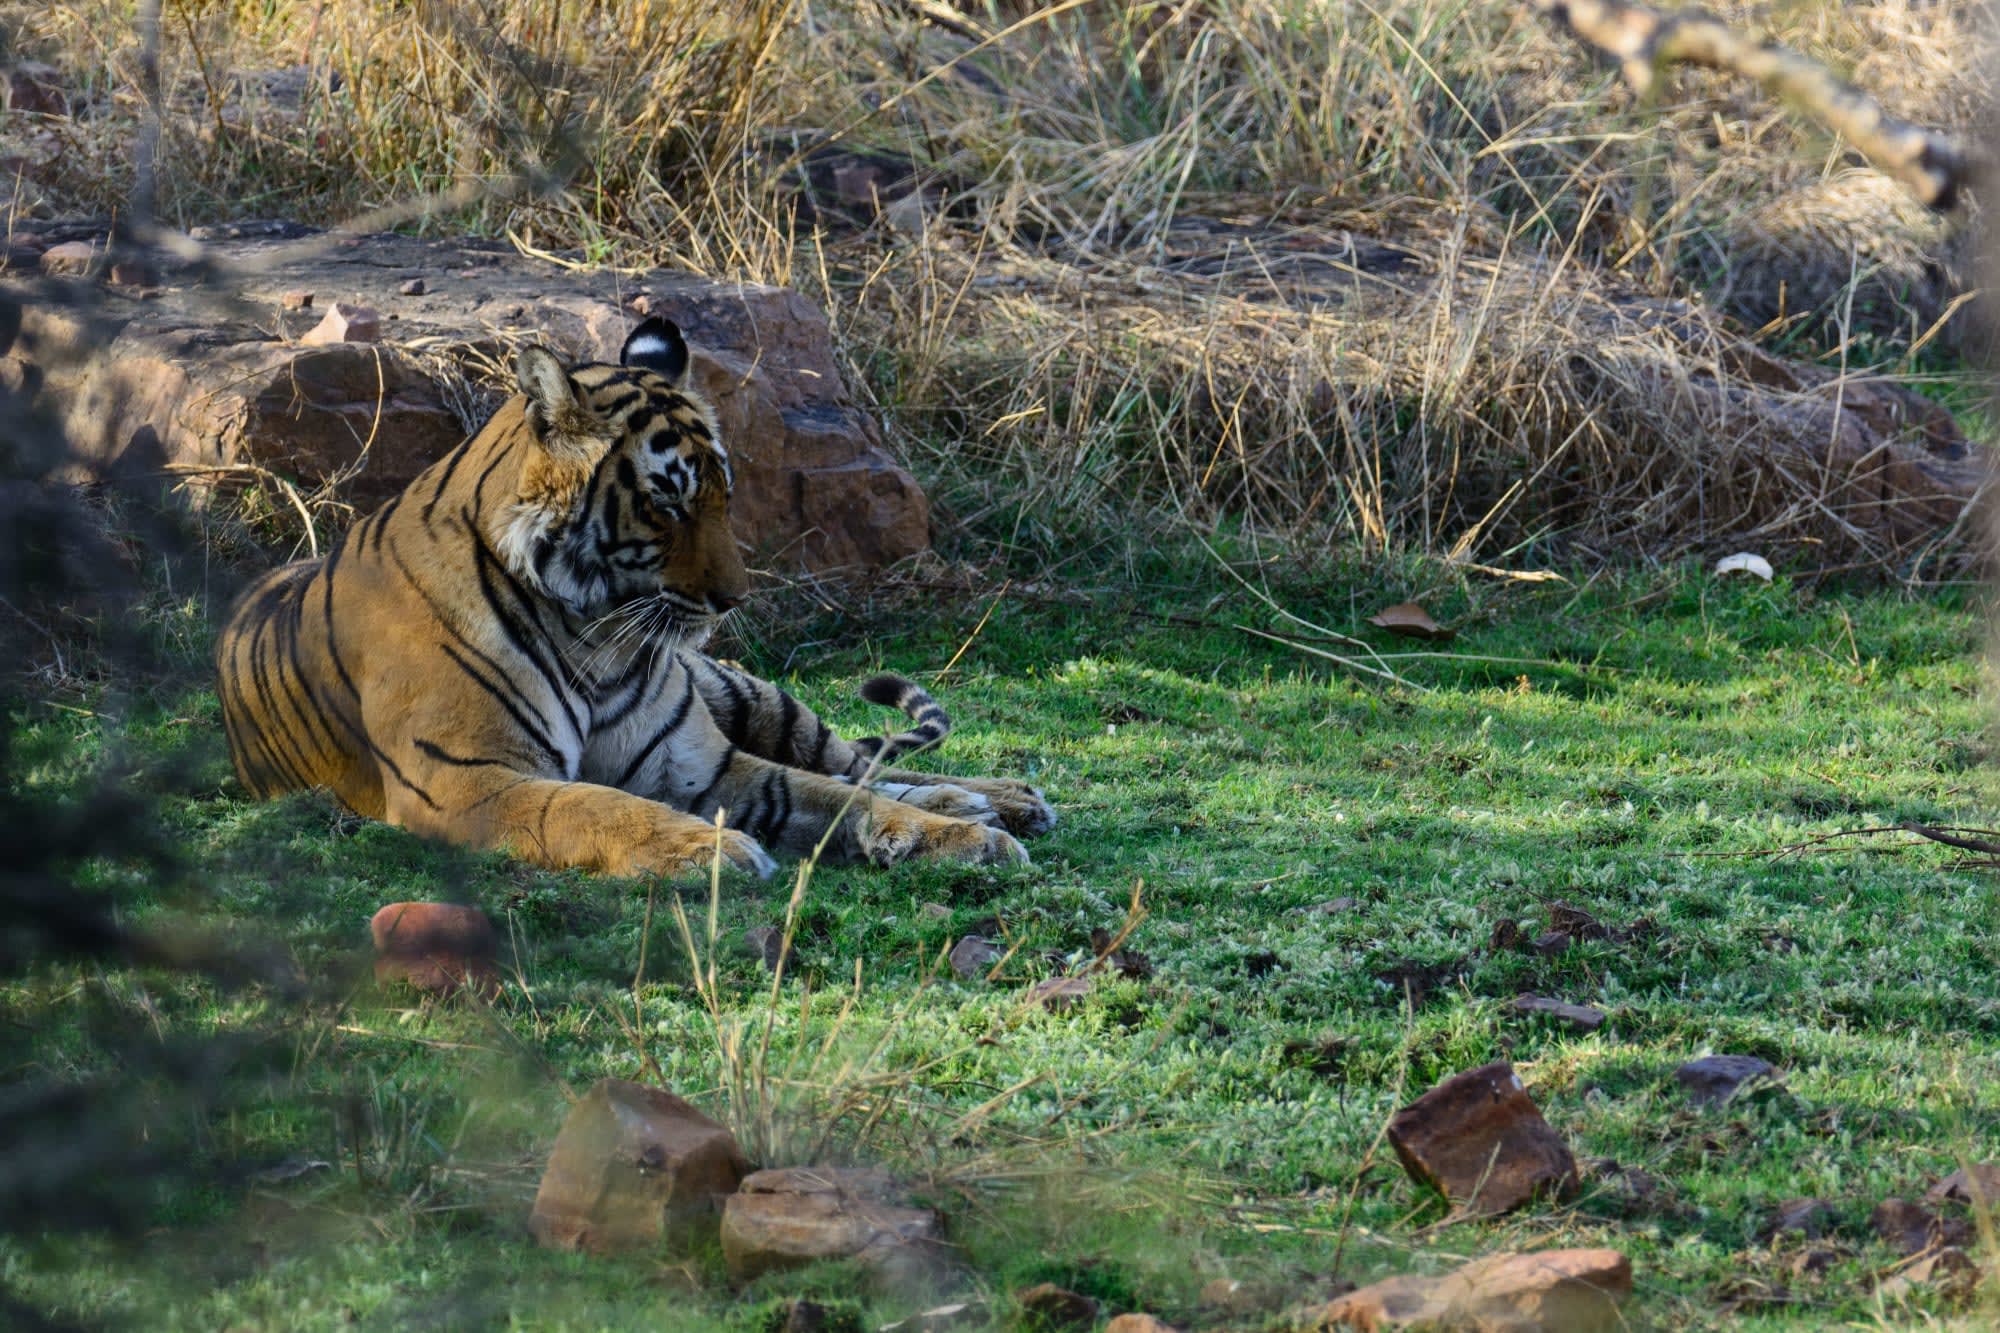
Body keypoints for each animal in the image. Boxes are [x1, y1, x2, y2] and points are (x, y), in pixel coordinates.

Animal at [214, 317, 1055, 881]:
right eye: (668, 502)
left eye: (724, 496)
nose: (733, 600)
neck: (595, 637)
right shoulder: (466, 780)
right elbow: (590, 804)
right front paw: (708, 848)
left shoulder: (703, 764)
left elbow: (837, 795)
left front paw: (967, 841)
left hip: (751, 695)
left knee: (859, 761)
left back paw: (997, 801)